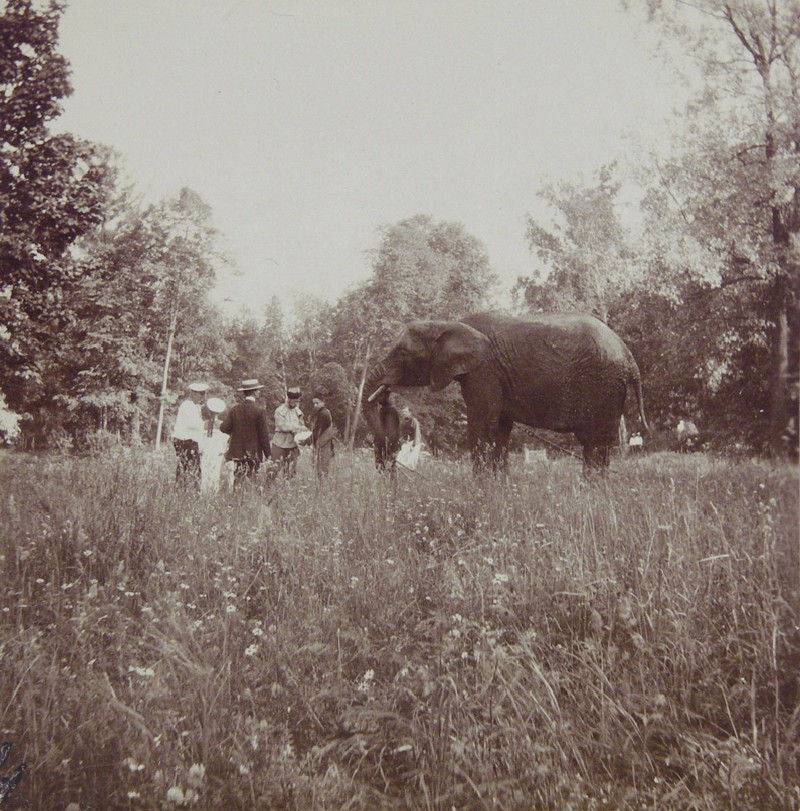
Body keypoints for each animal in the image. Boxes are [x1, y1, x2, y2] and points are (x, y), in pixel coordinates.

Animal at [362, 310, 648, 476]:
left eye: (403, 354)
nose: (385, 397)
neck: (449, 324)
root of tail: (630, 358)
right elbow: (499, 429)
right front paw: (499, 489)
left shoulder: (483, 371)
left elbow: (482, 425)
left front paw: (481, 490)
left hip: (602, 386)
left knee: (595, 443)